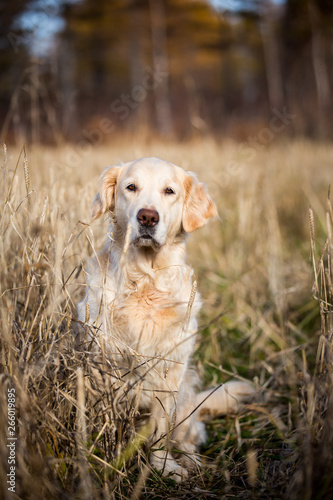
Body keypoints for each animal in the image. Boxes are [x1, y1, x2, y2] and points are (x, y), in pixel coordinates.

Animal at [78, 158, 253, 482]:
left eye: (169, 191)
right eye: (131, 187)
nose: (147, 217)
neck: (145, 282)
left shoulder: (170, 371)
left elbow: (160, 430)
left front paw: (164, 468)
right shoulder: (99, 365)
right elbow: (103, 417)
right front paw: (99, 456)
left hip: (186, 396)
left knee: (188, 436)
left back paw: (191, 461)